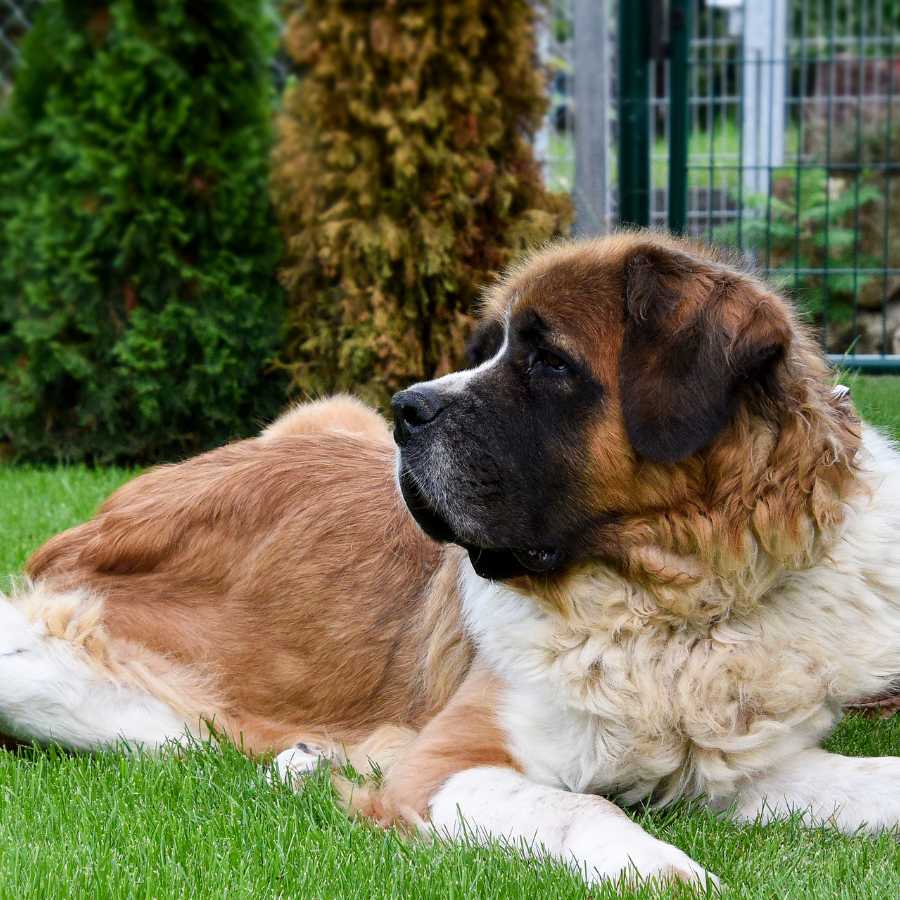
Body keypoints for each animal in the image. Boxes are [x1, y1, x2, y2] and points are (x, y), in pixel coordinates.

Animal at [1, 232, 900, 884]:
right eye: (486, 348)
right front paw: (666, 871)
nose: (407, 407)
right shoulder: (451, 766)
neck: (675, 597)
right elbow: (584, 808)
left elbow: (872, 775)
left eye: (548, 361)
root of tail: (99, 519)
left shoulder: (737, 767)